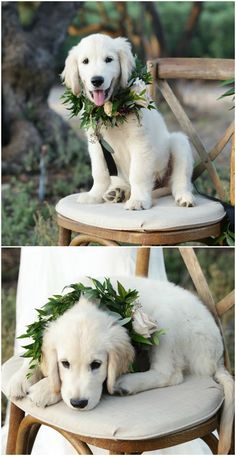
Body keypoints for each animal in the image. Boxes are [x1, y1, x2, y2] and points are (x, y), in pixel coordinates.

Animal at [7, 282, 234, 452]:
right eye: (65, 364)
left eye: (96, 365)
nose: (79, 403)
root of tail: (217, 354)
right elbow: (34, 357)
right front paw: (20, 379)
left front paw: (44, 390)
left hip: (166, 321)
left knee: (171, 374)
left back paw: (126, 384)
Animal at [61, 33, 195, 210]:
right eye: (85, 61)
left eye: (109, 59)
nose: (97, 80)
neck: (111, 111)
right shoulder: (96, 144)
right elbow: (99, 172)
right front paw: (94, 195)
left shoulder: (140, 143)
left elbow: (138, 174)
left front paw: (138, 200)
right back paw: (118, 192)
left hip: (178, 143)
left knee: (180, 180)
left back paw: (184, 197)